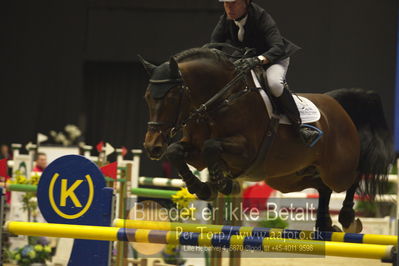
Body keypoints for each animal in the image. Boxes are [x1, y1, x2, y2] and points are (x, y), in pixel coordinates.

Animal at [140, 47, 394, 233]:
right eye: (147, 97)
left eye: (172, 97)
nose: (152, 146)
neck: (220, 101)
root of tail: (338, 105)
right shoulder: (195, 151)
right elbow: (175, 151)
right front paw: (203, 188)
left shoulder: (246, 150)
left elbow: (211, 147)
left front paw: (222, 183)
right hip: (290, 178)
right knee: (323, 188)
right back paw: (324, 224)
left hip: (337, 169)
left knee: (354, 177)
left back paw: (348, 218)